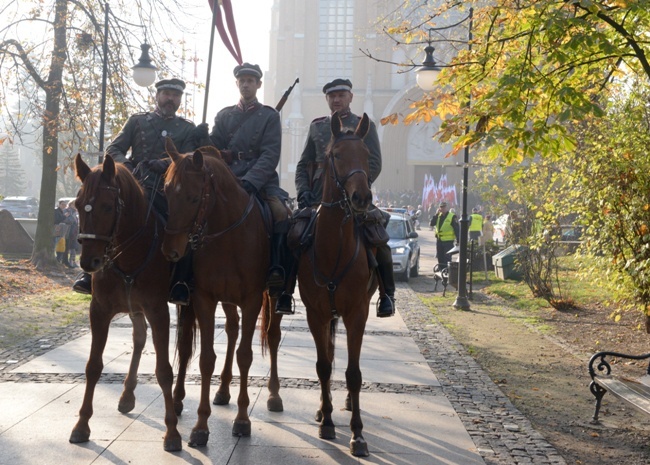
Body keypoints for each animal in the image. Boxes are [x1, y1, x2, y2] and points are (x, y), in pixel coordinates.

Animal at [68, 154, 181, 452]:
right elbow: (93, 366)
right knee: (139, 338)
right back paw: (127, 393)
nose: (88, 262)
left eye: (107, 206)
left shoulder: (158, 311)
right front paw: (82, 424)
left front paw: (172, 432)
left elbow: (164, 371)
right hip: (133, 308)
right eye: (77, 205)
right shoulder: (99, 311)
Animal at [161, 139, 282, 446]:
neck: (228, 235)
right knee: (231, 329)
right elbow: (206, 359)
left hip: (274, 296)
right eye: (166, 192)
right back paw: (224, 389)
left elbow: (245, 356)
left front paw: (242, 419)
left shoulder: (252, 300)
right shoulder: (204, 299)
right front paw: (201, 426)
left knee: (272, 336)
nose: (171, 250)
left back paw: (274, 393)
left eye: (193, 198)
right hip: (226, 301)